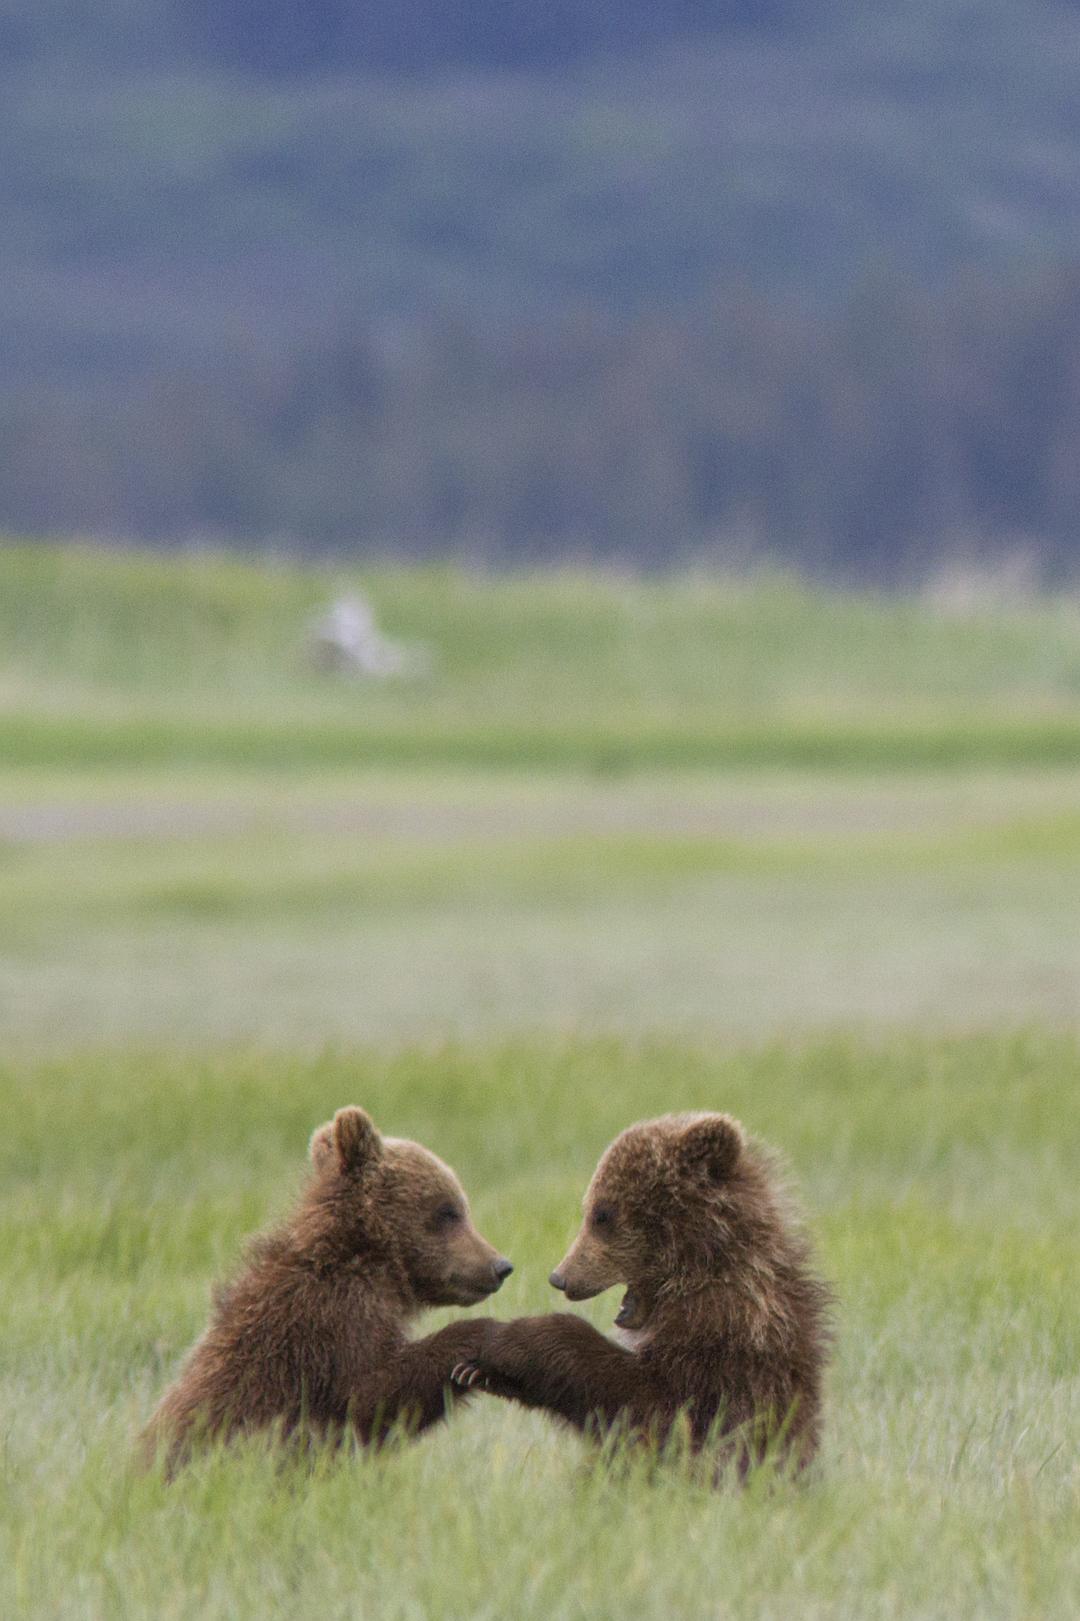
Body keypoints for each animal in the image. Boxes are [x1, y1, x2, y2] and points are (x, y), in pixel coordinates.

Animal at [140, 1106, 513, 1474]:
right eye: (449, 1210)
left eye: (460, 1207)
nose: (500, 1266)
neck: (371, 1262)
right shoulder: (332, 1322)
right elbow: (369, 1396)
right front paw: (483, 1334)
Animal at [451, 1111, 832, 1475]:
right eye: (590, 1208)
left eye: (602, 1214)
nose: (559, 1278)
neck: (701, 1273)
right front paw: (476, 1369)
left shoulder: (724, 1343)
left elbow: (649, 1405)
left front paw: (501, 1344)